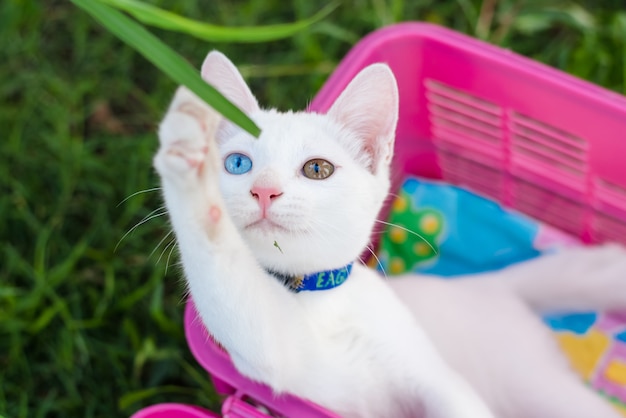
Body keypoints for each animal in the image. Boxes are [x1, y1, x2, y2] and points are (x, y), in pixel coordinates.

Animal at [152, 51, 492, 418]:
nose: (264, 190)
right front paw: (188, 152)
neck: (316, 295)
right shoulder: (280, 359)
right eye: (238, 163)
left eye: (318, 169)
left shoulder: (433, 376)